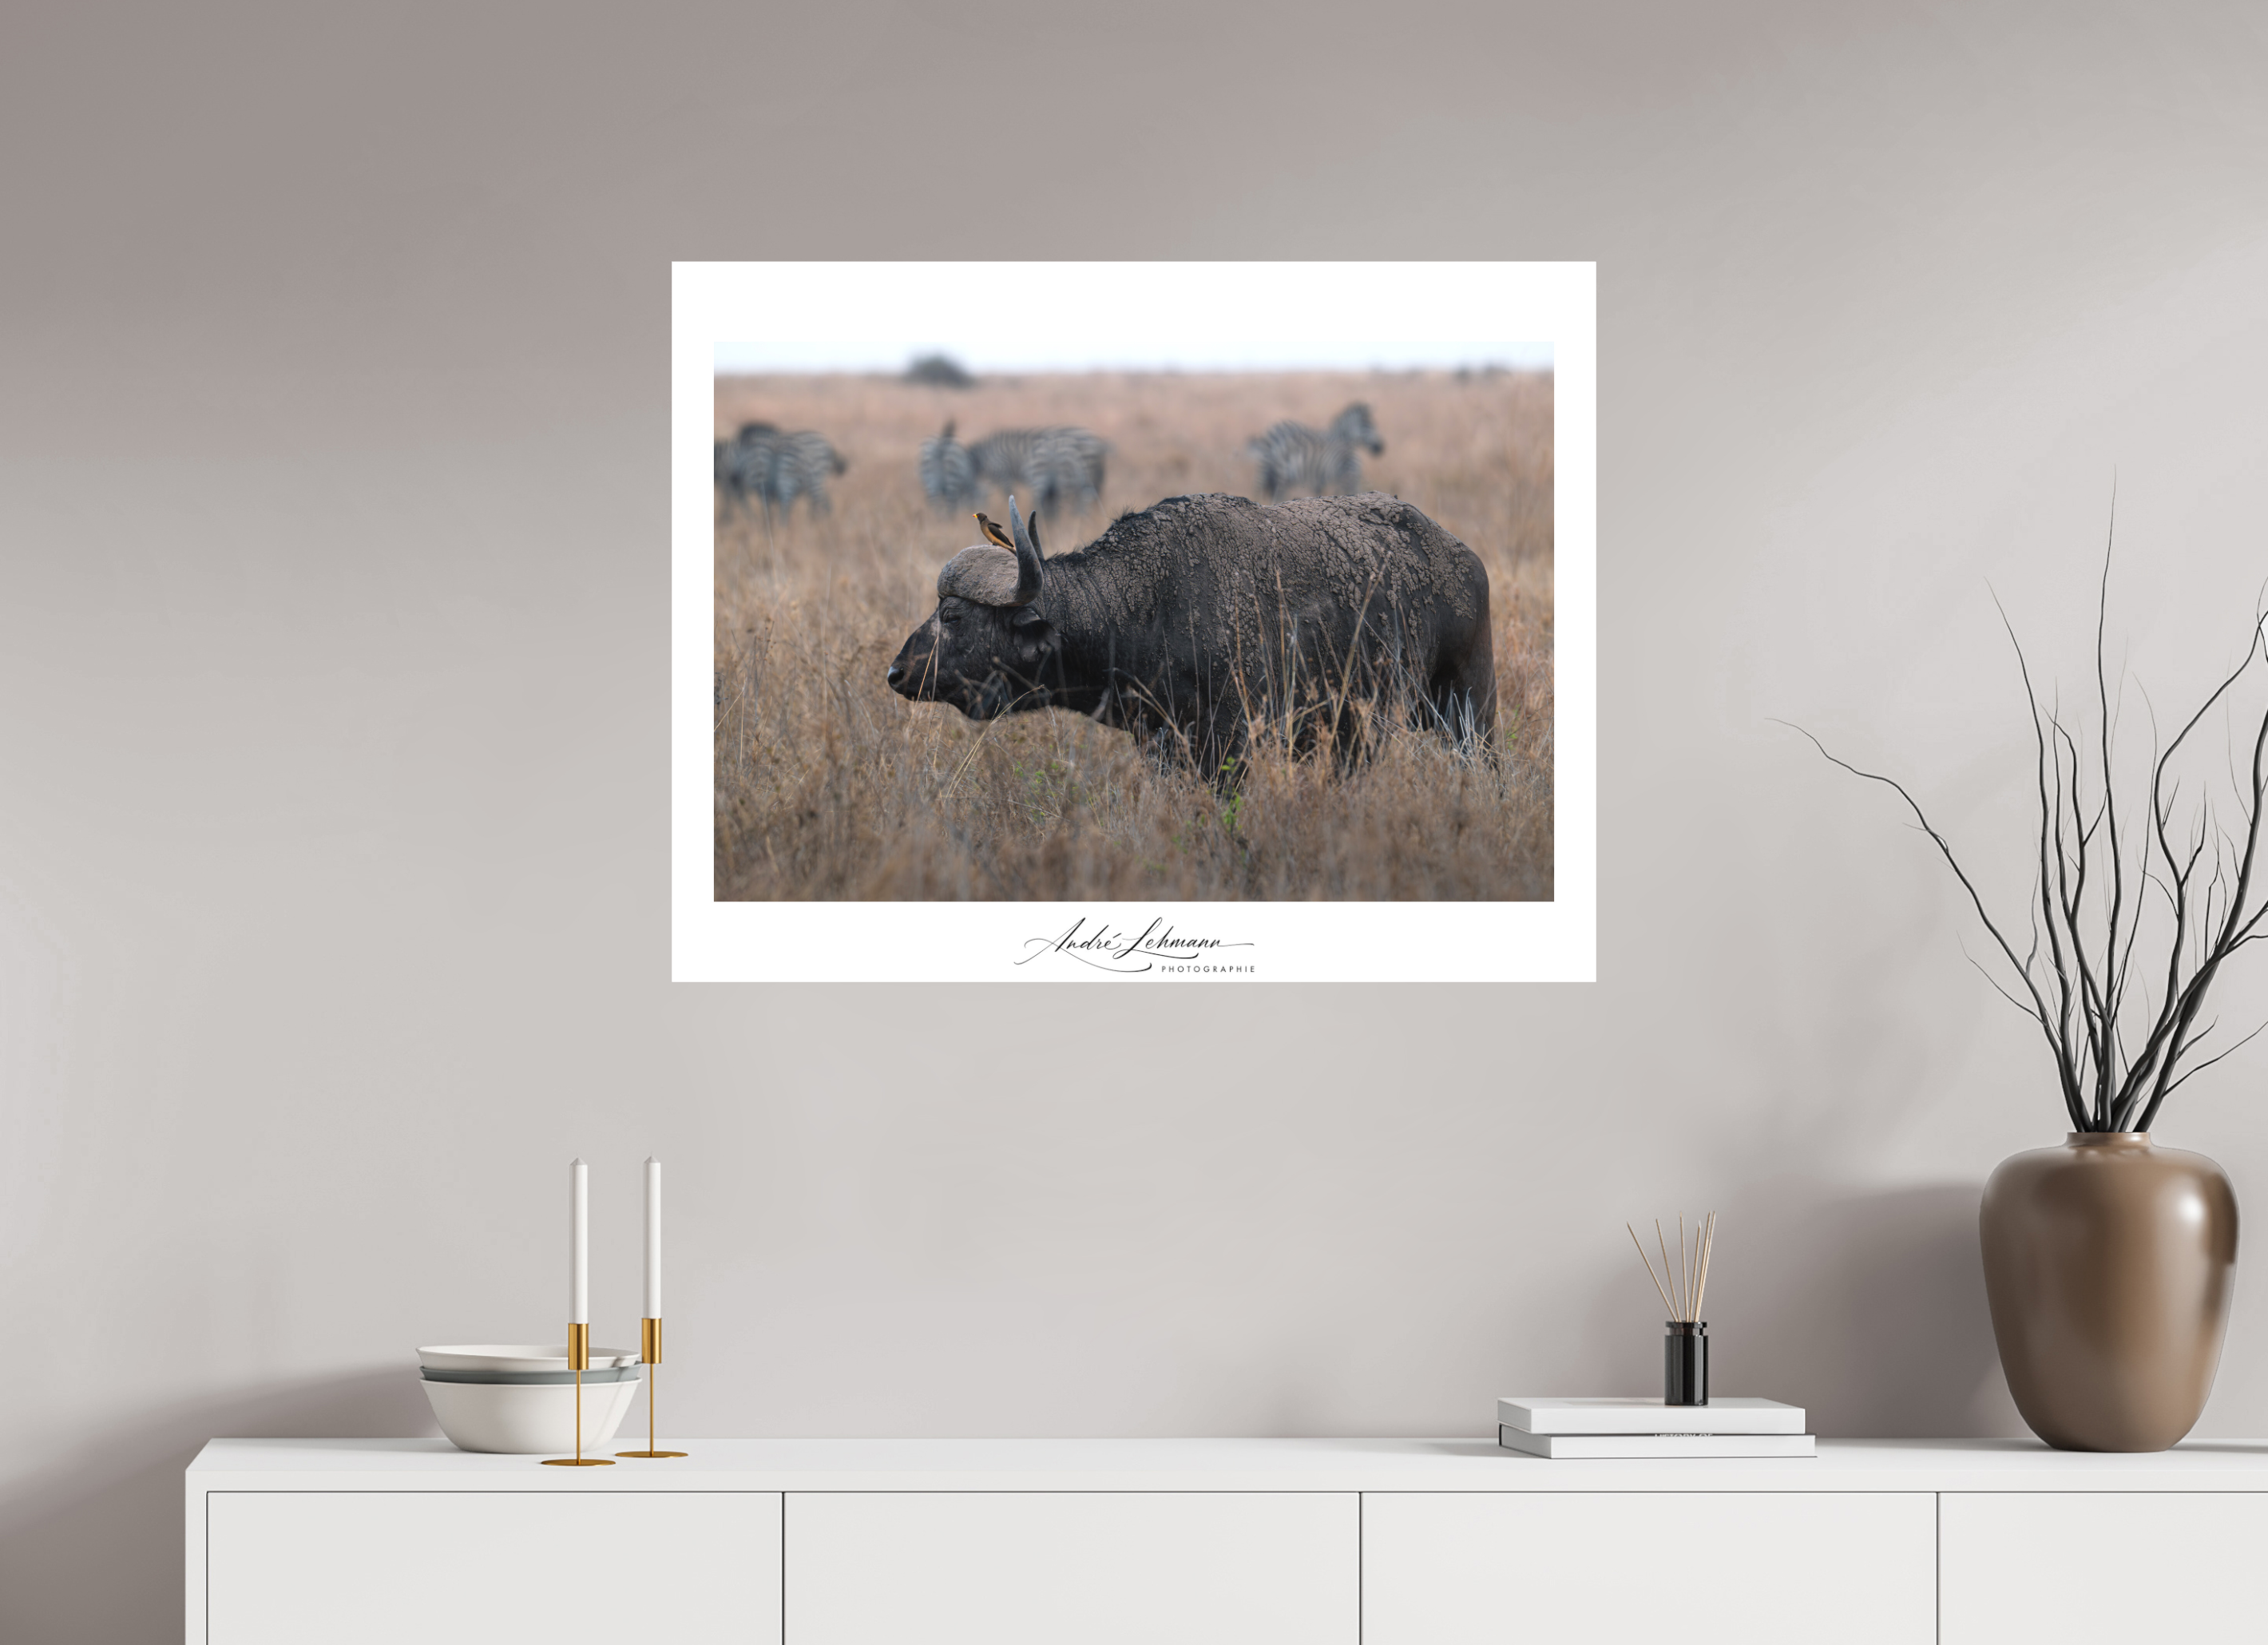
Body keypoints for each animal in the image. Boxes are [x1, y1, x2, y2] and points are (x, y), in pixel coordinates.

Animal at [886, 491, 1495, 778]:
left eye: (952, 617)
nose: (896, 672)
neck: (1145, 607)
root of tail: (1462, 557)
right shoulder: (1162, 746)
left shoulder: (1231, 742)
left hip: (1468, 705)